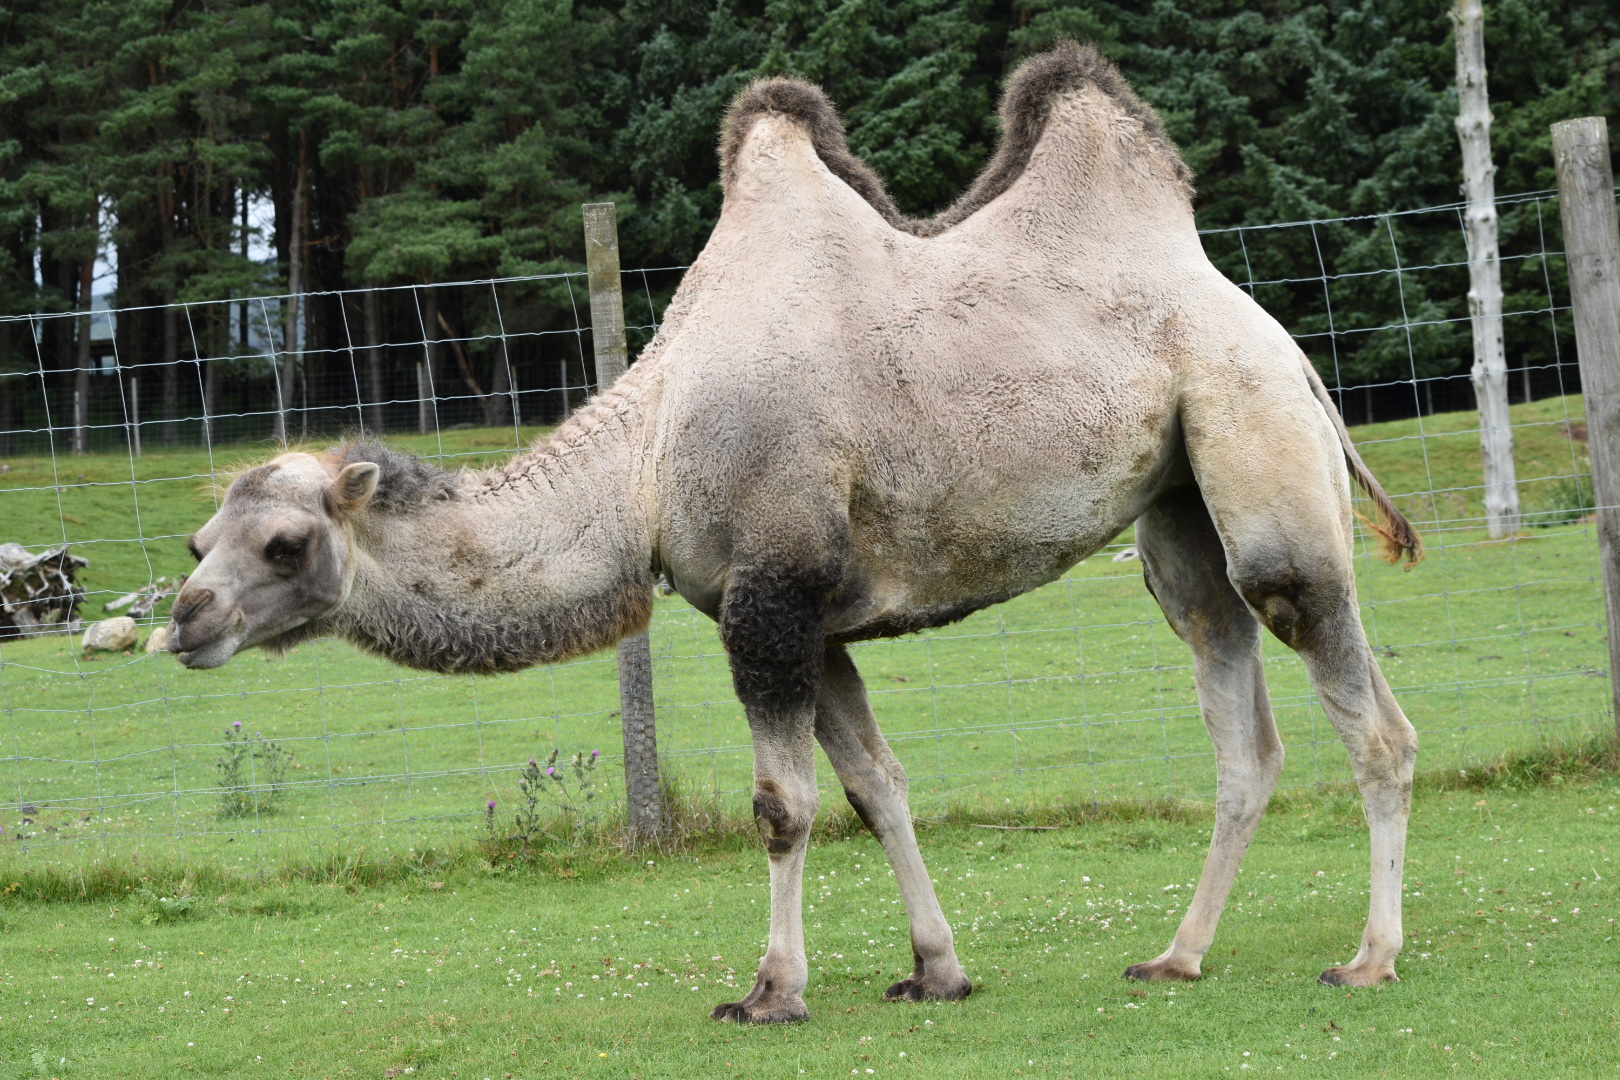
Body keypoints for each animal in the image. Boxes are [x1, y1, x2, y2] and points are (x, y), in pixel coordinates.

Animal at [169, 43, 1422, 1024]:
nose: (183, 621)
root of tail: (1291, 348)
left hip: (1253, 429)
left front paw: (772, 991)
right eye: (196, 544)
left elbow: (784, 807)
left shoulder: (770, 599)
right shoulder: (807, 619)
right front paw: (937, 971)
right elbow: (877, 786)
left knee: (1357, 698)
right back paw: (1177, 957)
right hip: (1176, 506)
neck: (645, 464)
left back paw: (1368, 959)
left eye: (284, 545)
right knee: (1239, 714)